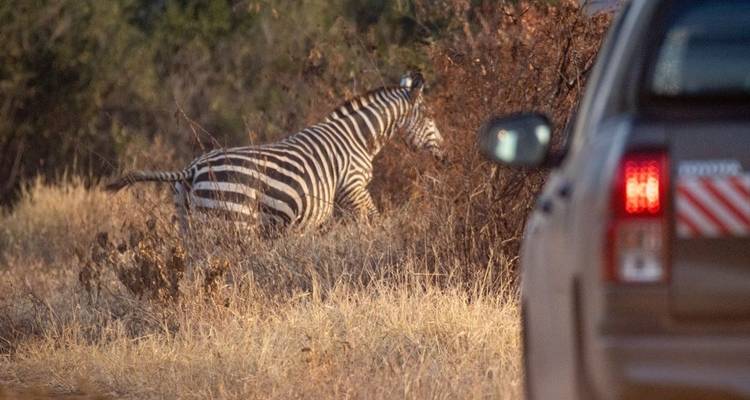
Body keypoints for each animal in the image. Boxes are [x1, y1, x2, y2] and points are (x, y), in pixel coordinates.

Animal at [106, 71, 445, 233]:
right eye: (429, 116)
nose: (445, 156)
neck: (358, 137)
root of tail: (192, 169)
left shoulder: (327, 205)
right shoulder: (353, 188)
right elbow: (374, 221)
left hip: (188, 222)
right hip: (232, 220)